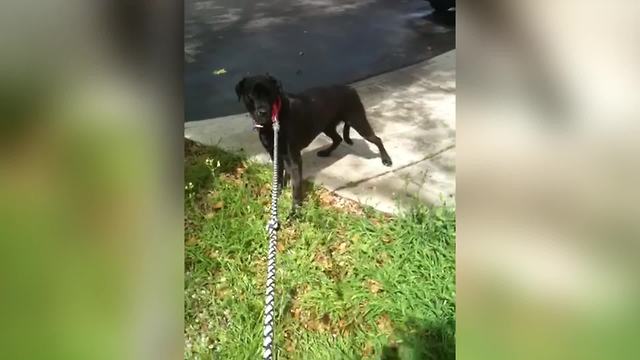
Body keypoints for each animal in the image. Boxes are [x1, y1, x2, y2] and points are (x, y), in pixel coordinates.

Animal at [235, 74, 390, 217]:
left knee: (377, 139)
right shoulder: (275, 155)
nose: (263, 112)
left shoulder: (294, 159)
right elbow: (278, 177)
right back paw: (326, 152)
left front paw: (295, 210)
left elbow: (296, 186)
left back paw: (386, 160)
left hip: (358, 121)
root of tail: (350, 88)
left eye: (270, 93)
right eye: (250, 95)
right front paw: (277, 196)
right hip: (327, 126)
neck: (274, 120)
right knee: (338, 138)